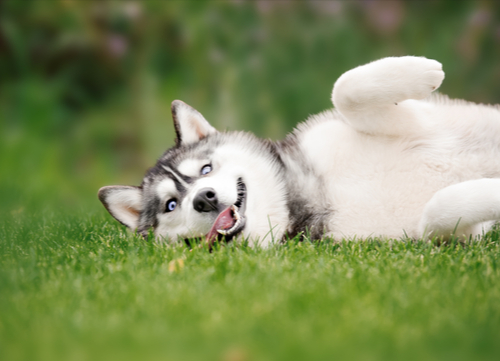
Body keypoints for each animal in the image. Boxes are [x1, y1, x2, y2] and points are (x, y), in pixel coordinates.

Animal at [98, 57, 500, 248]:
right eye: (171, 205)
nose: (205, 198)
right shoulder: (437, 235)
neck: (304, 195)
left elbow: (344, 89)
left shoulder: (420, 117)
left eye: (205, 169)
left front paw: (420, 71)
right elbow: (439, 208)